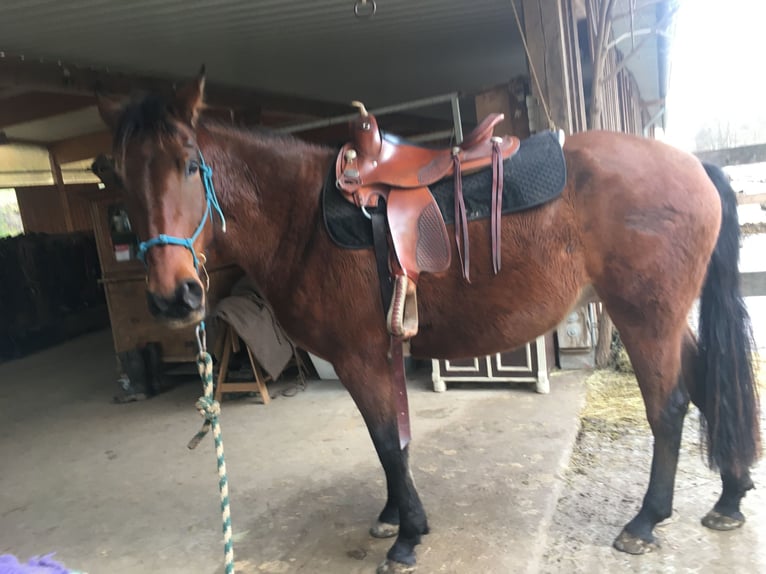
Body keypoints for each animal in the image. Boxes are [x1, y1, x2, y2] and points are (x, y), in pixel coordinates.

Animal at [96, 74, 760, 572]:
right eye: (121, 179)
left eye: (189, 165)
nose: (173, 296)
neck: (302, 219)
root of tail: (695, 166)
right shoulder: (377, 353)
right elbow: (390, 439)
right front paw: (393, 514)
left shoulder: (360, 355)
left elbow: (388, 441)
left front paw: (408, 536)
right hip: (666, 319)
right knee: (710, 384)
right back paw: (729, 497)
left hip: (645, 317)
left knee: (669, 406)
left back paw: (645, 522)